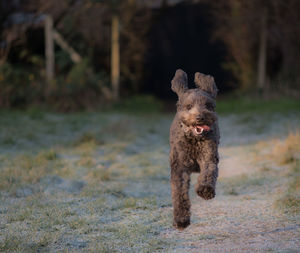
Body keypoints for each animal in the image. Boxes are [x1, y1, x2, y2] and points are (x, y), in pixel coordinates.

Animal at [170, 68, 219, 229]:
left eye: (208, 105)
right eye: (189, 106)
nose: (200, 117)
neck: (194, 139)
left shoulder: (209, 156)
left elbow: (209, 172)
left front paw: (205, 190)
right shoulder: (179, 167)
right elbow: (179, 193)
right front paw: (181, 219)